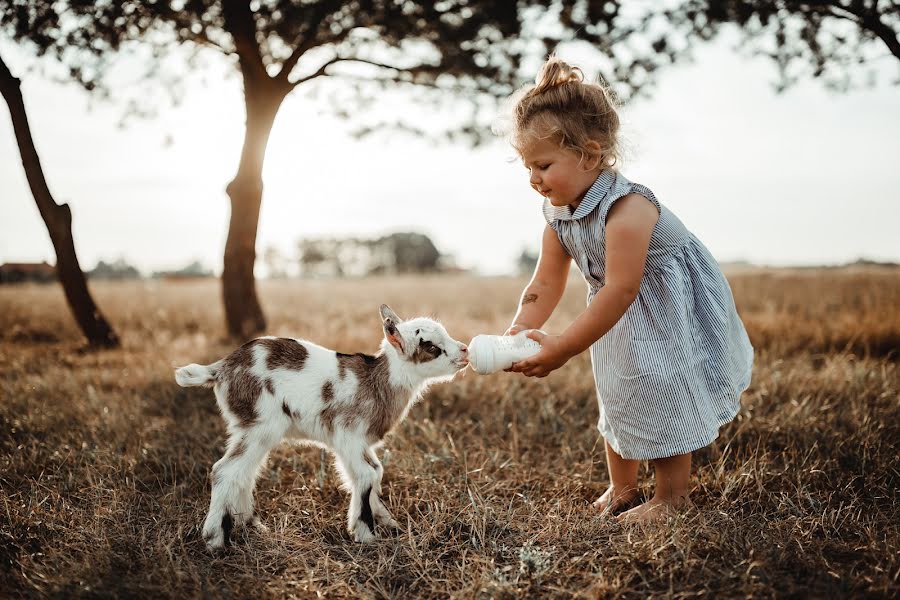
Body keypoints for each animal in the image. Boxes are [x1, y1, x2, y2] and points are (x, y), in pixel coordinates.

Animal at [177, 304, 472, 548]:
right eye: (431, 347)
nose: (465, 351)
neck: (376, 383)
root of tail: (220, 368)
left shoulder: (359, 443)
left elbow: (375, 472)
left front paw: (388, 522)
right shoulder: (348, 436)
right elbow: (367, 475)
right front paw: (366, 535)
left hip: (249, 429)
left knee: (244, 474)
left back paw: (251, 525)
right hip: (260, 425)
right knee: (224, 471)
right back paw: (215, 539)